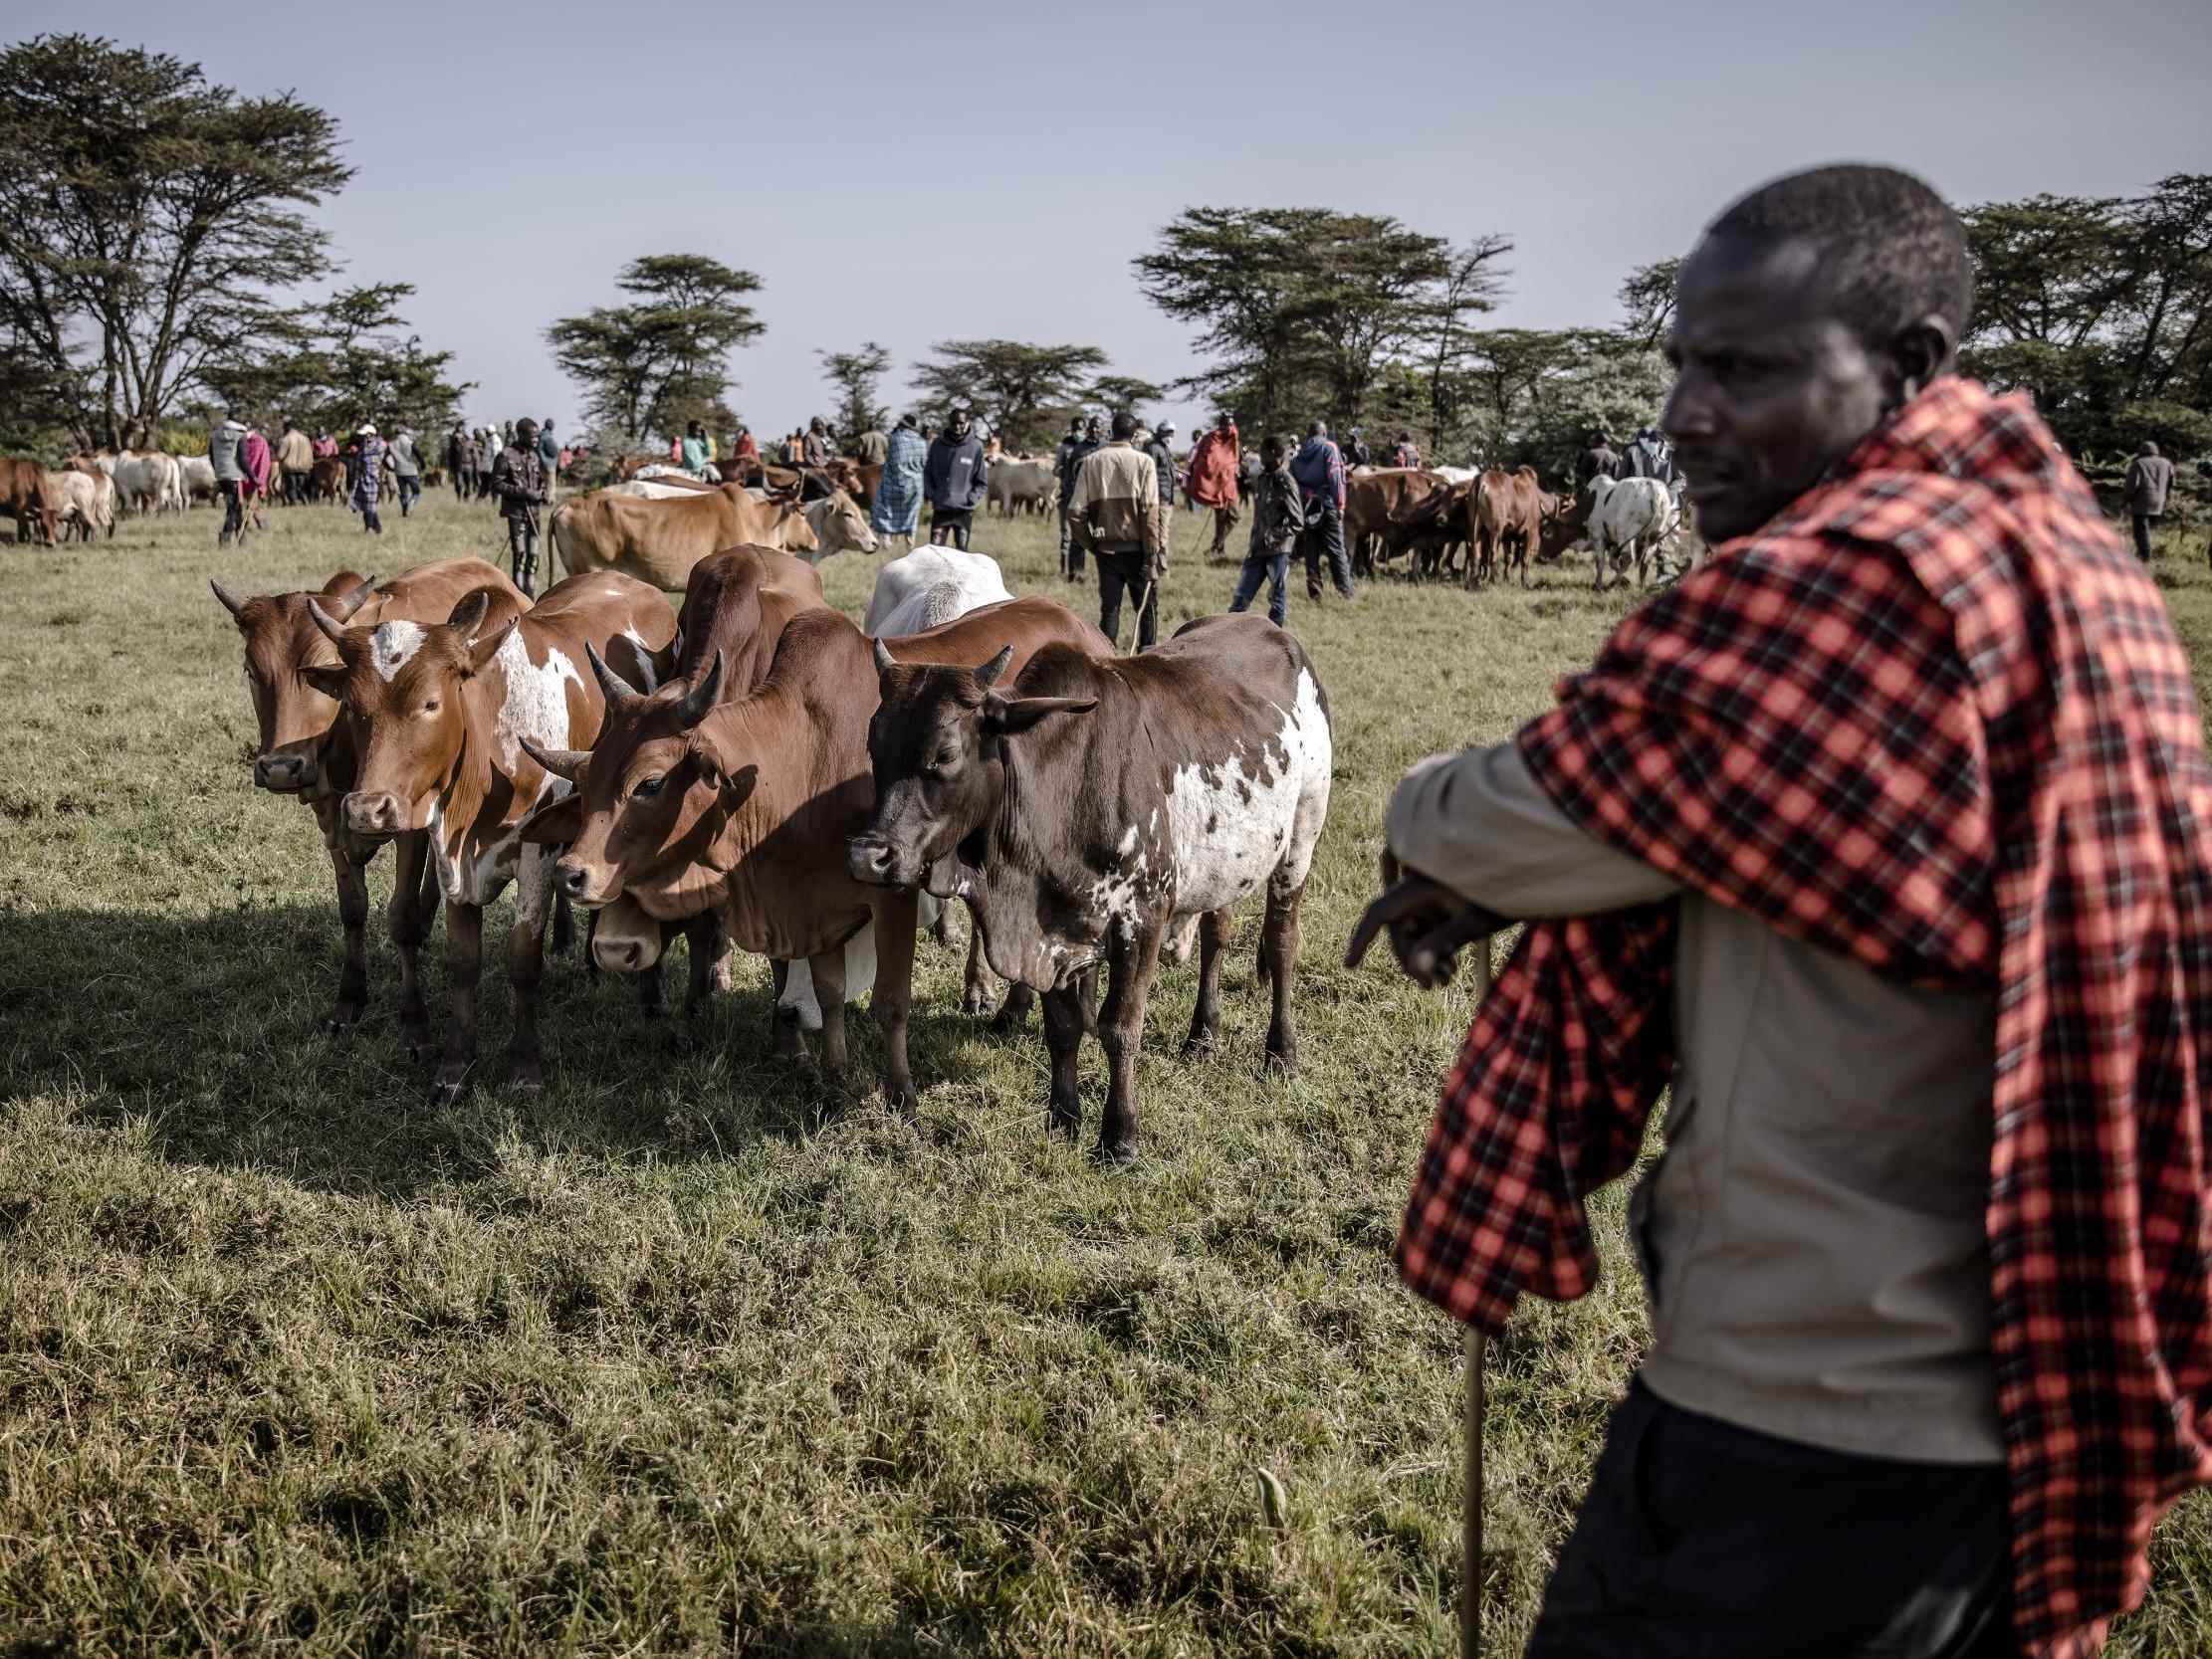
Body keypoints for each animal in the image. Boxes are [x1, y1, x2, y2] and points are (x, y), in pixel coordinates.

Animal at [211, 561, 531, 1052]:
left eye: (317, 672)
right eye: (250, 670)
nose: (281, 768)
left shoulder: (410, 827)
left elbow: (398, 916)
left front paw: (414, 1021)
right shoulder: (333, 821)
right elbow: (352, 909)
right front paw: (350, 998)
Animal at [312, 570, 672, 1106]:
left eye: (431, 703)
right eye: (353, 707)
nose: (367, 810)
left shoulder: (538, 856)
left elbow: (522, 960)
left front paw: (525, 1068)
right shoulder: (449, 855)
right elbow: (465, 962)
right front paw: (455, 1067)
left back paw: (650, 993)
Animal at [517, 597, 1106, 1119]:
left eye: (651, 783)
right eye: (591, 778)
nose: (571, 874)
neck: (800, 763)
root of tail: (1090, 634)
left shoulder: (890, 892)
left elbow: (891, 999)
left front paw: (902, 1097)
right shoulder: (818, 905)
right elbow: (829, 993)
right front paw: (833, 1077)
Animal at [844, 610, 1327, 1167]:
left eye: (944, 754)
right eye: (873, 746)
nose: (869, 856)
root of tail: (1275, 630)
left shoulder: (1143, 920)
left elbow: (1120, 1028)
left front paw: (1119, 1135)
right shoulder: (1055, 930)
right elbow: (1063, 1027)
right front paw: (1063, 1116)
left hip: (1300, 842)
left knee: (1282, 941)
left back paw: (1282, 1053)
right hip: (1224, 866)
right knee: (1216, 936)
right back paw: (1203, 1036)